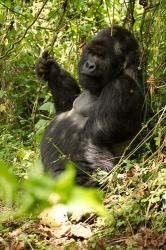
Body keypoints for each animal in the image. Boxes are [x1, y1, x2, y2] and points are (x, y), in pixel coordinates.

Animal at [35, 25, 145, 186]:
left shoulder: (123, 84)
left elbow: (97, 133)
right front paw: (50, 70)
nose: (89, 65)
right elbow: (67, 106)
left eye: (101, 56)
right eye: (91, 53)